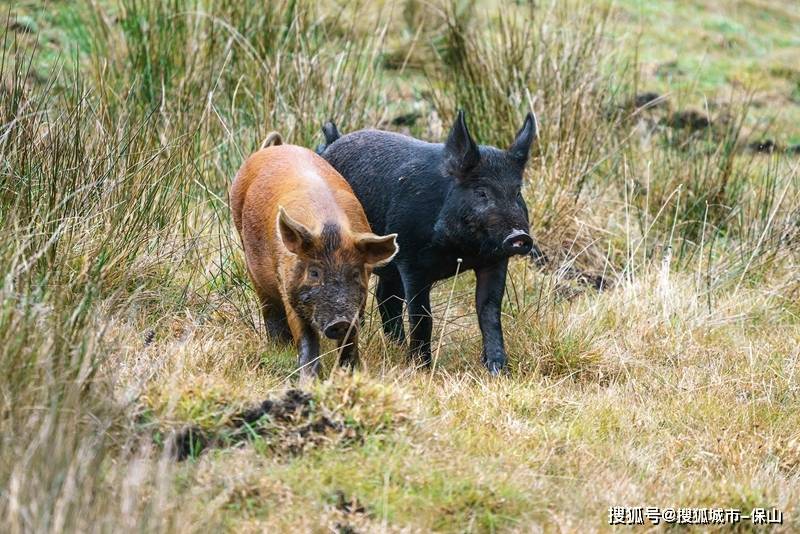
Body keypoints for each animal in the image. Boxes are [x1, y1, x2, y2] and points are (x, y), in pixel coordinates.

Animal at [228, 132, 396, 378]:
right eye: (314, 272)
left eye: (355, 273)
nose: (340, 321)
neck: (331, 228)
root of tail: (270, 149)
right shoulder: (290, 290)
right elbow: (306, 338)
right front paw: (308, 379)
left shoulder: (359, 304)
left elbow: (350, 340)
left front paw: (350, 373)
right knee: (269, 309)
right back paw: (279, 348)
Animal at [318, 111, 536, 374]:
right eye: (481, 192)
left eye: (516, 193)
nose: (519, 236)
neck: (461, 251)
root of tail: (332, 142)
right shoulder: (411, 261)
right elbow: (422, 315)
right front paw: (422, 367)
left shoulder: (494, 261)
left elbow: (489, 310)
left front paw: (497, 370)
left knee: (386, 296)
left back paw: (397, 345)